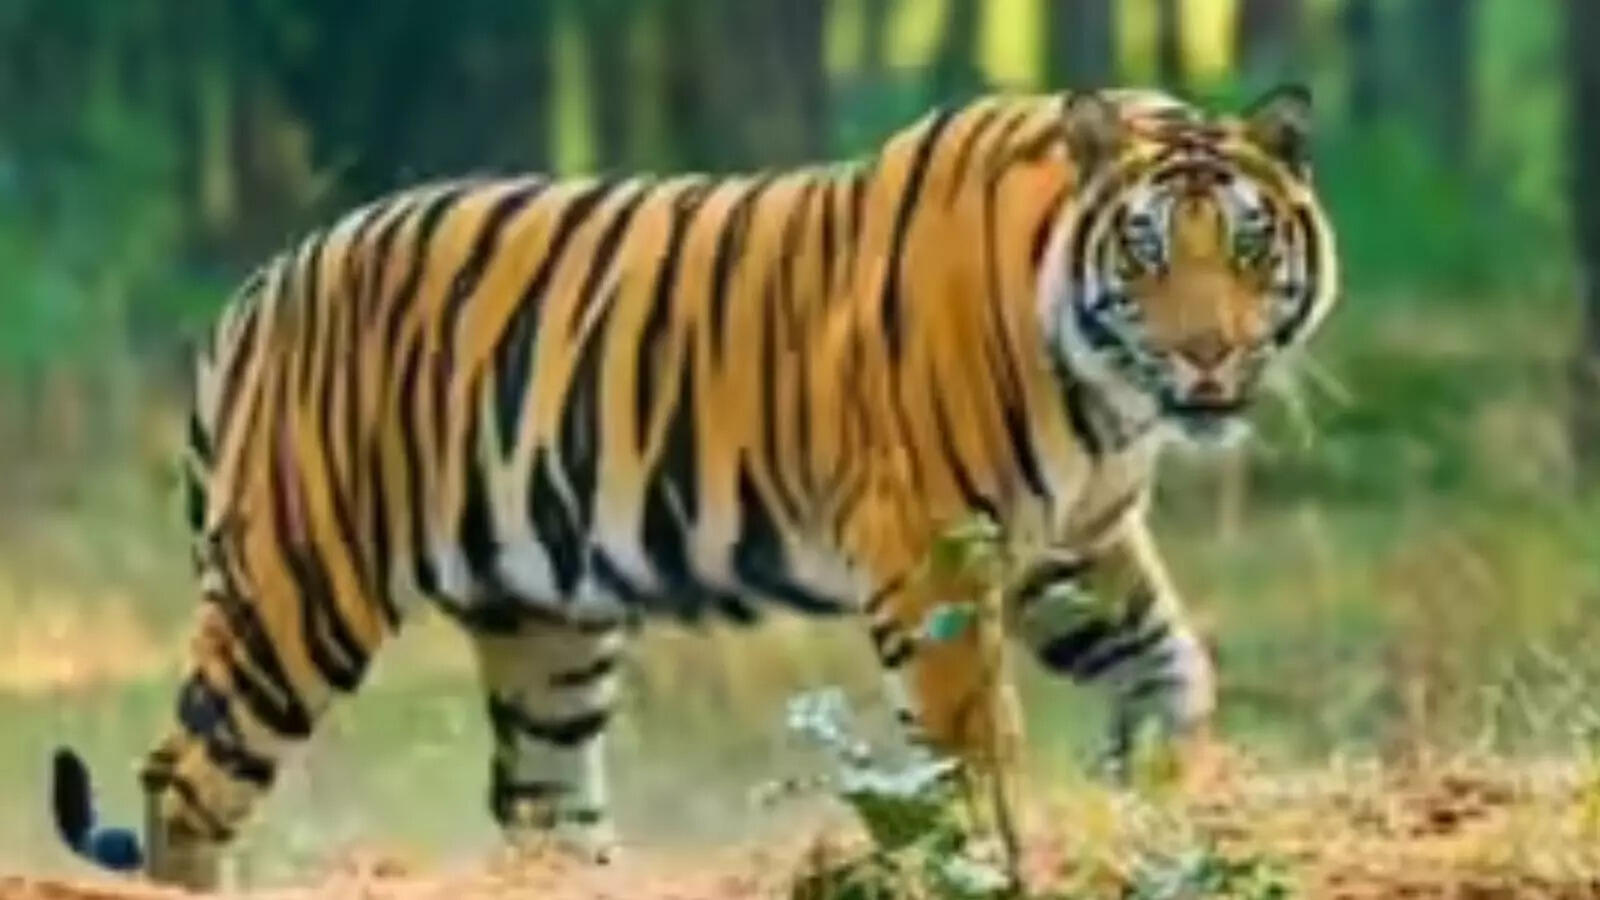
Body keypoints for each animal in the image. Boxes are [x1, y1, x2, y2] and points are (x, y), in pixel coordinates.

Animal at [49, 85, 1337, 890]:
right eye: (1147, 253)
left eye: (1249, 249)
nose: (1208, 358)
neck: (1105, 392)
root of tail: (259, 289)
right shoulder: (934, 551)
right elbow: (970, 752)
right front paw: (1001, 860)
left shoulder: (1076, 548)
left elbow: (1170, 666)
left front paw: (1162, 798)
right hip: (299, 591)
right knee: (184, 780)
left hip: (544, 627)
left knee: (543, 808)